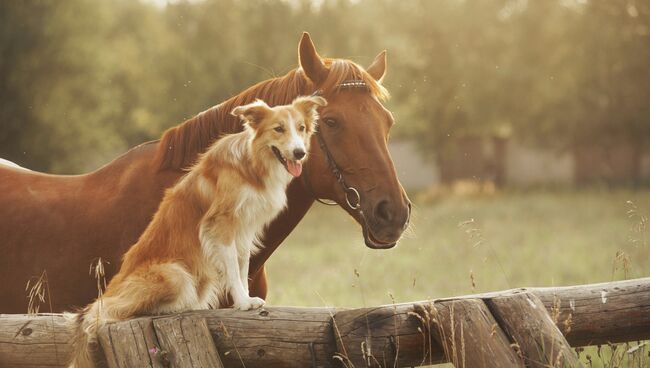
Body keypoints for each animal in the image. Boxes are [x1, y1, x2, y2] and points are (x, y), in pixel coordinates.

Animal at [66, 95, 324, 368]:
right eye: (278, 129)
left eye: (301, 128)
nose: (300, 152)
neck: (252, 164)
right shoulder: (220, 225)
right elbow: (233, 268)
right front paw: (243, 302)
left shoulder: (244, 229)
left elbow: (242, 267)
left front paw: (245, 299)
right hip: (175, 274)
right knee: (102, 311)